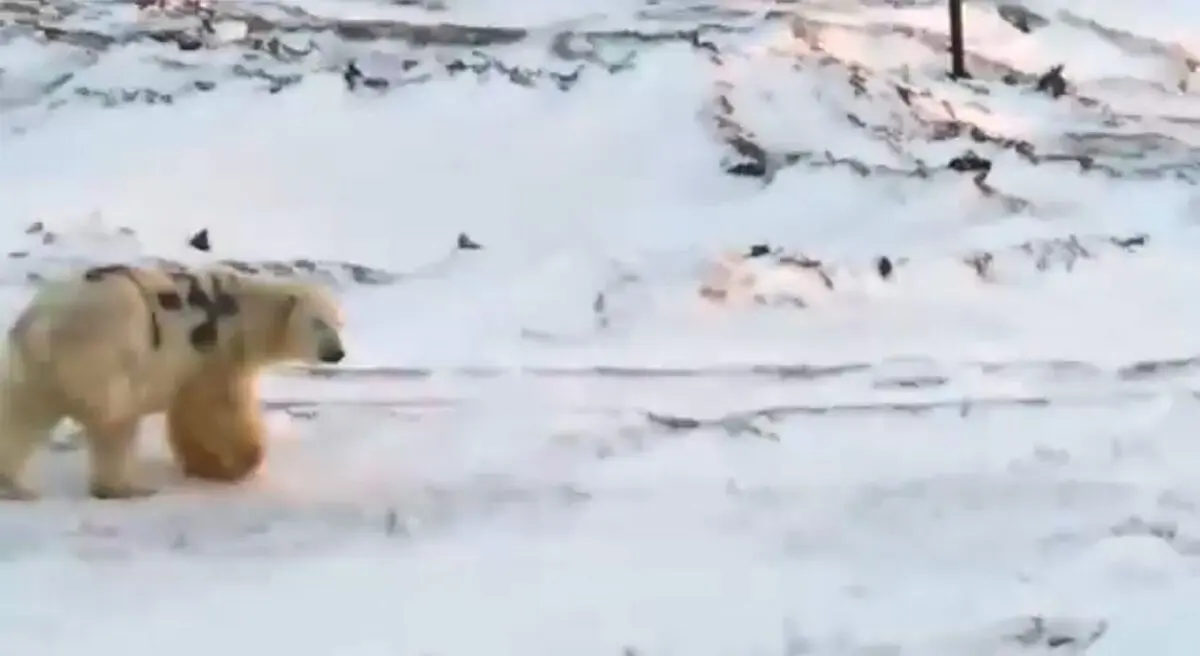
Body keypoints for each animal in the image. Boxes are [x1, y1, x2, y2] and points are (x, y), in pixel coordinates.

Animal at [0, 263, 346, 500]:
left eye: (339, 323)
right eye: (318, 322)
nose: (337, 352)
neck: (241, 310)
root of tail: (41, 324)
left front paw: (202, 464)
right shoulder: (214, 353)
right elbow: (217, 410)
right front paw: (236, 465)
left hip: (33, 369)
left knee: (21, 416)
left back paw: (12, 486)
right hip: (106, 356)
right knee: (115, 424)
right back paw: (124, 488)